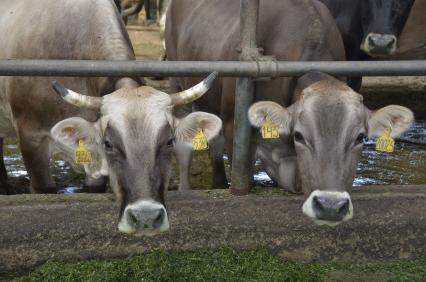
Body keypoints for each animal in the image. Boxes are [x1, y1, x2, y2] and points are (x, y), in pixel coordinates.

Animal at [165, 0, 414, 226]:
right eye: (299, 135)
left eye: (360, 137)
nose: (331, 206)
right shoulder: (233, 126)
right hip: (180, 84)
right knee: (186, 147)